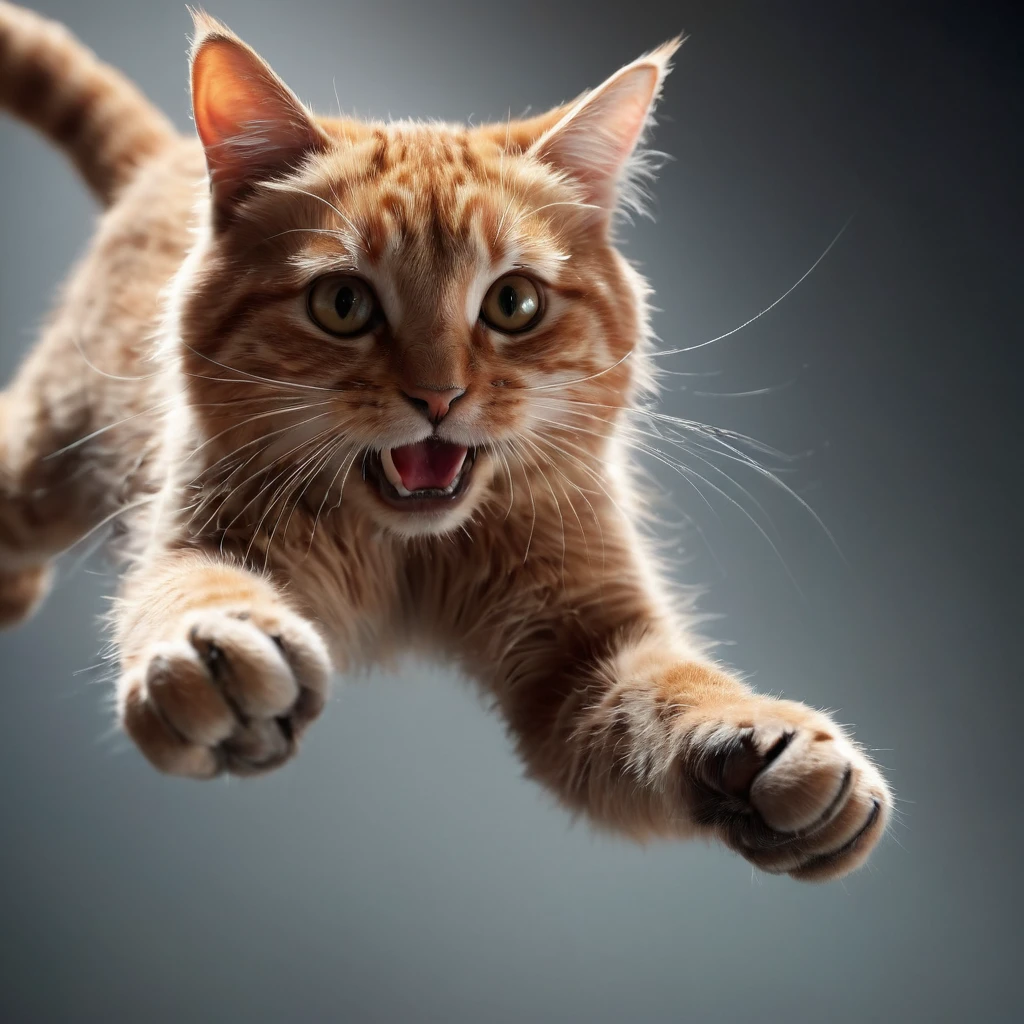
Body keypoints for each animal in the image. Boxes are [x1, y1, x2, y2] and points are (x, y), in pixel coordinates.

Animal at [0, 2, 888, 880]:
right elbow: (187, 585)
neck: (407, 556)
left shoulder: (588, 644)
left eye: (514, 304)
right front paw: (214, 651)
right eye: (343, 304)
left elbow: (671, 686)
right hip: (51, 455)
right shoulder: (200, 526)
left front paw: (768, 749)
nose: (438, 395)